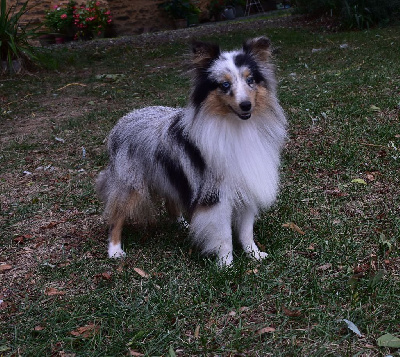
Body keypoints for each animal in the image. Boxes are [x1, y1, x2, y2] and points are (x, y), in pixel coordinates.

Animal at [97, 37, 288, 266]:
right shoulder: (216, 196)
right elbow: (224, 236)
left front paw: (254, 254)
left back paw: (183, 224)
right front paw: (226, 264)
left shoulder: (248, 183)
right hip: (130, 184)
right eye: (224, 85)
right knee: (116, 216)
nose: (246, 105)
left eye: (250, 80)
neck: (237, 127)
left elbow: (246, 231)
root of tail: (121, 123)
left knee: (171, 202)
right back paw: (115, 250)